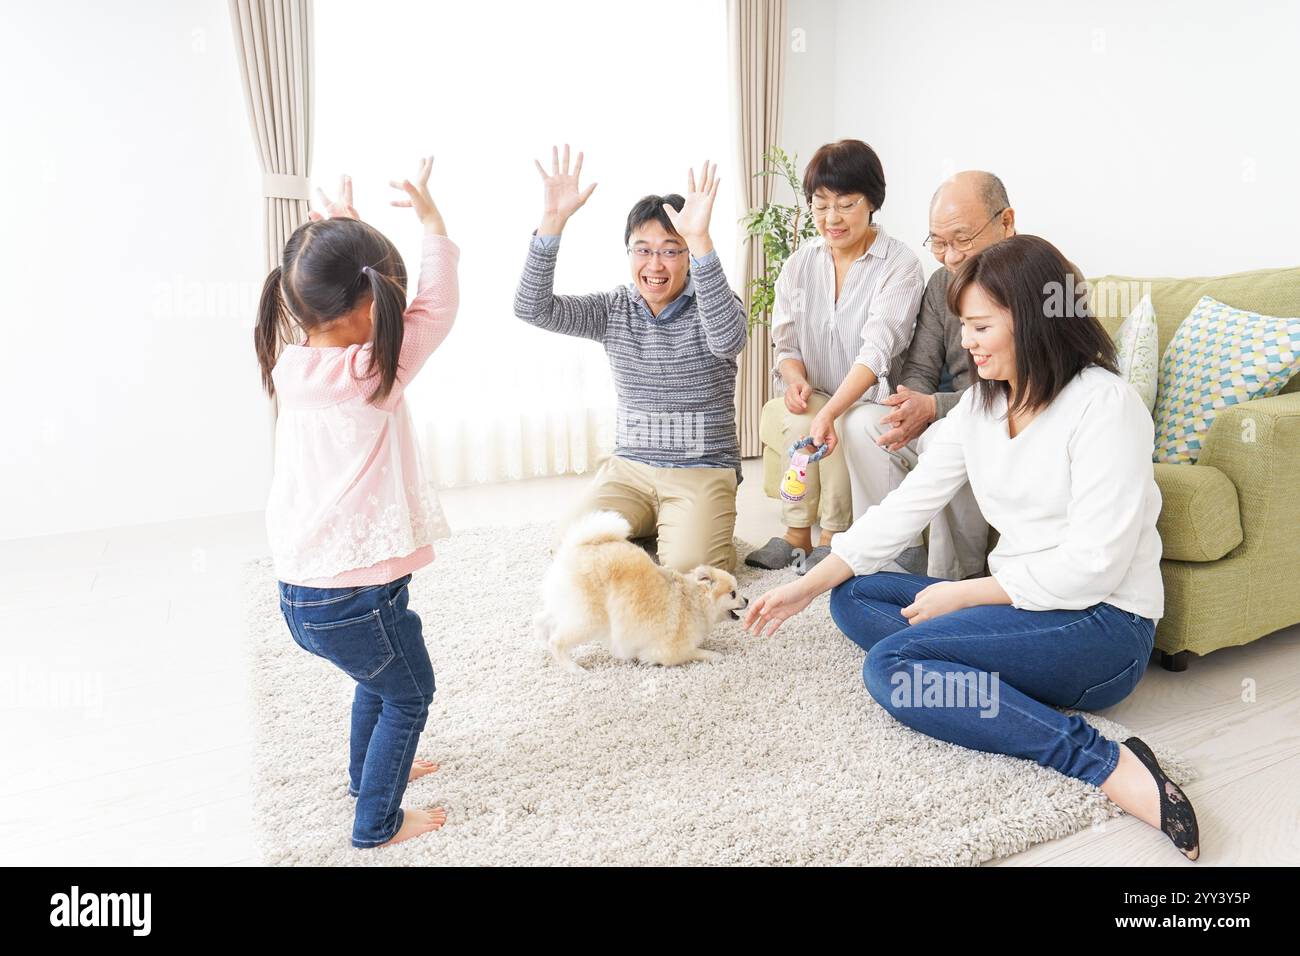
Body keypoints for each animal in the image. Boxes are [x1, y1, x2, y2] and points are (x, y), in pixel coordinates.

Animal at [533, 509, 748, 671]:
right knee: (557, 641)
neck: (695, 601)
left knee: (542, 621)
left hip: (568, 606)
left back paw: (543, 642)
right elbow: (696, 652)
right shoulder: (669, 652)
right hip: (590, 619)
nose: (746, 600)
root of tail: (576, 547)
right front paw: (716, 654)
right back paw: (573, 668)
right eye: (733, 594)